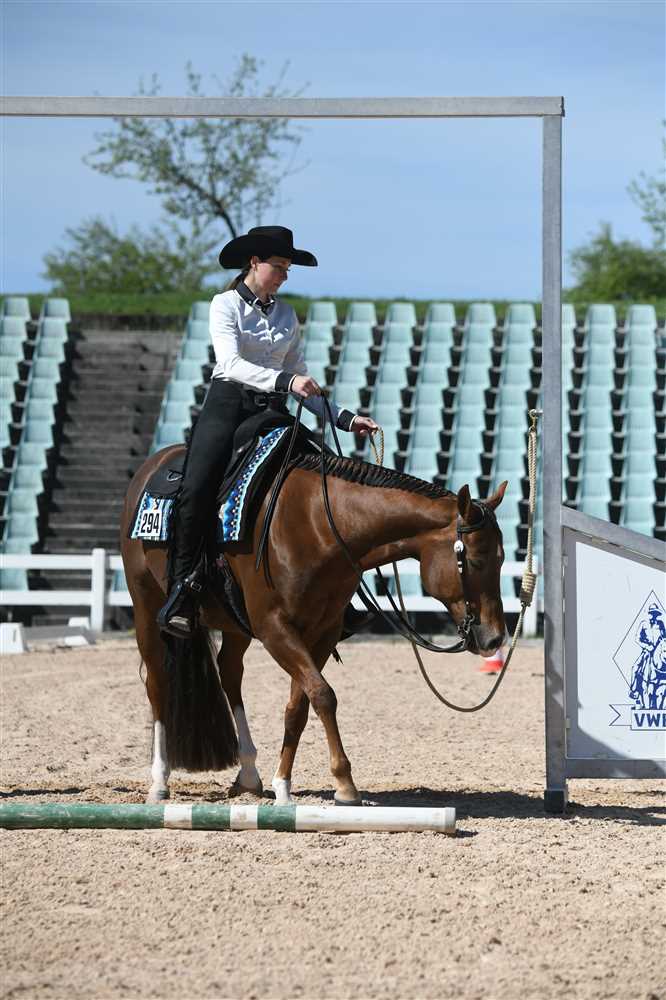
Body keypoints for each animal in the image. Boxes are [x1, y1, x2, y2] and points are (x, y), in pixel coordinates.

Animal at [120, 441, 508, 805]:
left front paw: (283, 784)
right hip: (146, 606)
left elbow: (300, 705)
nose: (494, 638)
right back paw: (159, 781)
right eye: (476, 559)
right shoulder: (275, 629)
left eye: (503, 558)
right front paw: (345, 783)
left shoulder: (321, 633)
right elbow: (323, 694)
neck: (320, 524)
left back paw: (249, 775)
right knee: (158, 682)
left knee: (229, 674)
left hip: (233, 624)